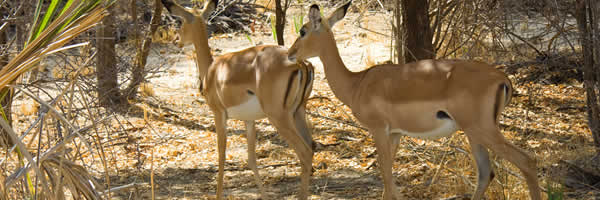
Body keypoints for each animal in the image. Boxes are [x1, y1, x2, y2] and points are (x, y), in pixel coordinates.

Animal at [162, 0, 316, 198]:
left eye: (180, 22)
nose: (176, 41)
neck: (212, 70)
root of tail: (300, 63)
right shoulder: (249, 121)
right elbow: (251, 159)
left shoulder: (219, 114)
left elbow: (221, 156)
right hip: (298, 112)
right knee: (311, 146)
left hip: (279, 117)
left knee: (304, 152)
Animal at [288, 1, 544, 200]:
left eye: (303, 31)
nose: (290, 53)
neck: (357, 83)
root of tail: (503, 79)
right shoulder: (395, 134)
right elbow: (387, 174)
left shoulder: (379, 130)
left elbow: (386, 173)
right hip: (474, 133)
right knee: (486, 173)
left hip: (482, 129)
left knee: (527, 161)